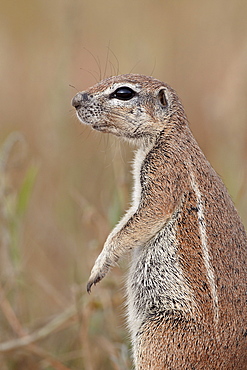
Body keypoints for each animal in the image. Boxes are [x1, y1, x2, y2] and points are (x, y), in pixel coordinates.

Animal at [71, 73, 247, 368]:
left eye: (123, 93)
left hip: (156, 336)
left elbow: (145, 217)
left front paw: (99, 267)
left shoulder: (163, 171)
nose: (75, 100)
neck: (169, 134)